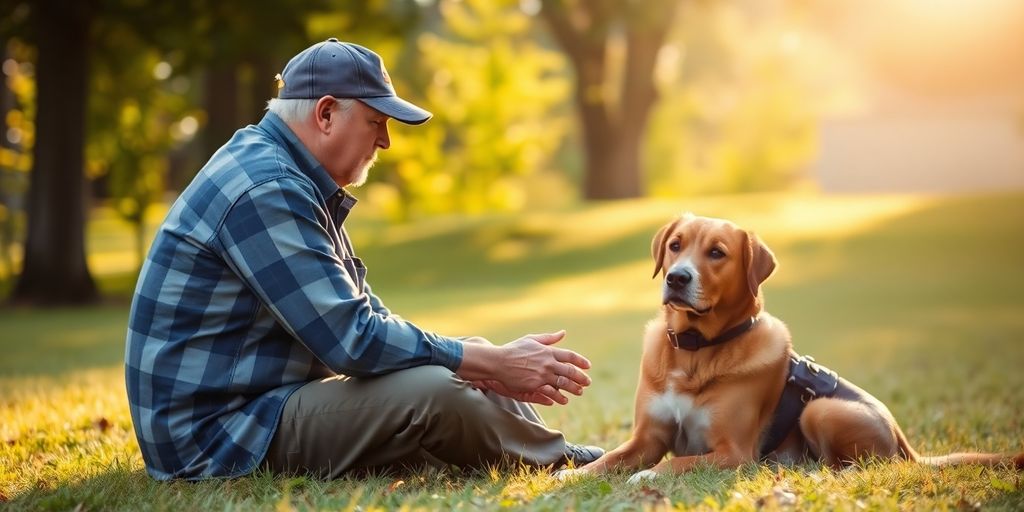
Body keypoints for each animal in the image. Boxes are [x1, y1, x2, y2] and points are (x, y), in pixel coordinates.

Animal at [561, 212, 1024, 483]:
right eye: (675, 245)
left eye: (717, 253)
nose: (676, 278)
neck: (695, 350)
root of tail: (907, 445)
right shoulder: (646, 439)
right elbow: (610, 459)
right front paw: (569, 476)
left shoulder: (733, 453)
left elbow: (675, 462)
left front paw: (647, 477)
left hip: (822, 410)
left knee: (859, 468)